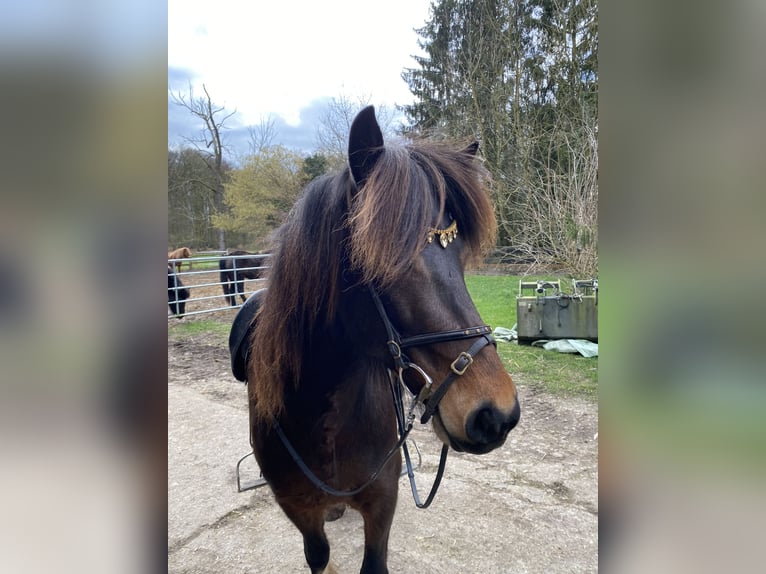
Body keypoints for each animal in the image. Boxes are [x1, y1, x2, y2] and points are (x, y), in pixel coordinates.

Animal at [234, 106, 520, 572]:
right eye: (385, 263)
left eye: (461, 260)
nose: (496, 413)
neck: (321, 418)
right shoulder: (298, 510)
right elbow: (319, 555)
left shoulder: (383, 502)